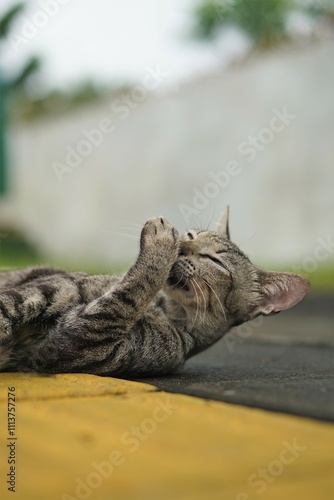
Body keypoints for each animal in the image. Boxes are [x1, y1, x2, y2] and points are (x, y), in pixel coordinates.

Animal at [0, 209, 308, 376]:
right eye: (191, 235)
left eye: (215, 261)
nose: (182, 244)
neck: (161, 307)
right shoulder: (50, 287)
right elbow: (10, 304)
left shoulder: (76, 346)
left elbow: (126, 297)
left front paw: (160, 244)